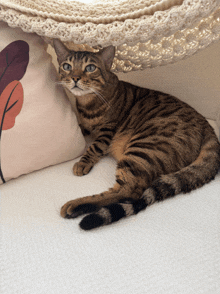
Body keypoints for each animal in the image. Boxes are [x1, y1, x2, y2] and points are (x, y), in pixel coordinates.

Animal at [52, 39, 220, 231]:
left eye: (90, 68)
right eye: (67, 66)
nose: (75, 78)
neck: (87, 104)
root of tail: (208, 127)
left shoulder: (107, 130)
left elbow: (94, 147)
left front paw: (82, 163)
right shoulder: (85, 126)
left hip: (143, 147)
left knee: (128, 191)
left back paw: (75, 205)